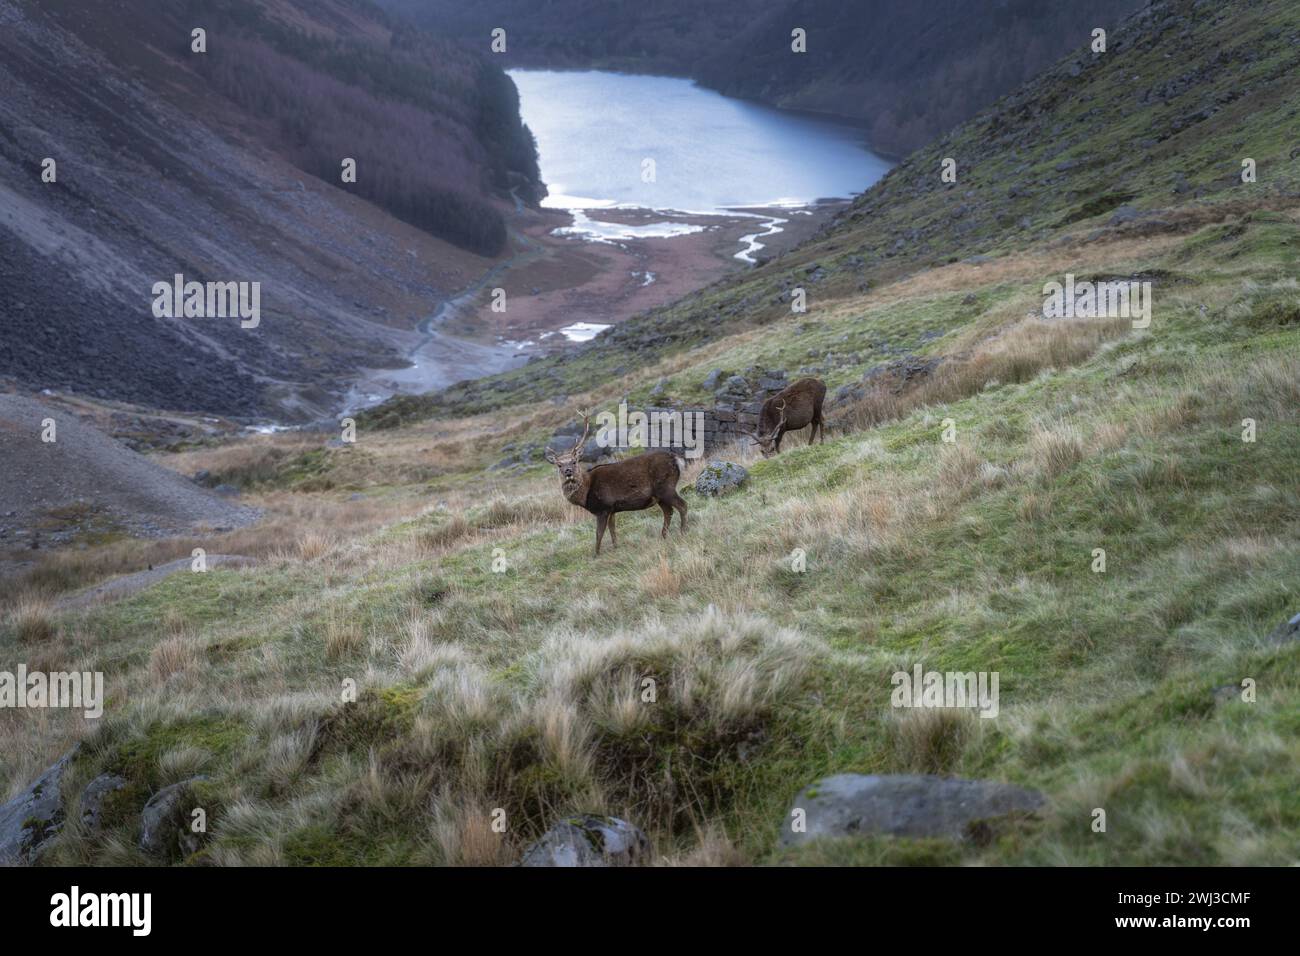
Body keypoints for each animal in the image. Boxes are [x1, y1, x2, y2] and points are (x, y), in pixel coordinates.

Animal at [544, 412, 688, 556]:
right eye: (559, 465)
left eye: (574, 461)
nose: (568, 471)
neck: (586, 494)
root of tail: (677, 459)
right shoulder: (612, 509)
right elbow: (612, 530)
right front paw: (615, 547)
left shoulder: (603, 507)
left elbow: (599, 533)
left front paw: (596, 554)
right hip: (658, 495)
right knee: (669, 511)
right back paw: (663, 536)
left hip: (665, 487)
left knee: (682, 505)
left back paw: (682, 532)